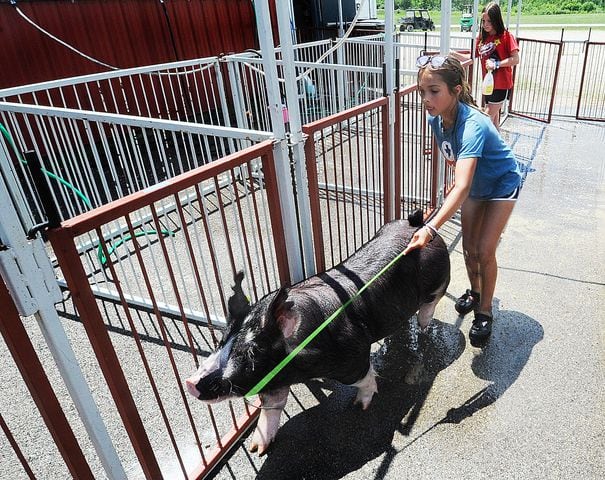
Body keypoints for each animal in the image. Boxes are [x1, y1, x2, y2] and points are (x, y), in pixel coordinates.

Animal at [184, 212, 448, 456]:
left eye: (252, 351)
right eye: (222, 340)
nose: (190, 383)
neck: (299, 366)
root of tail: (416, 223)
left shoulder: (353, 356)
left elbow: (364, 377)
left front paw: (360, 406)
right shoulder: (273, 377)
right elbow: (272, 406)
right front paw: (257, 448)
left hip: (438, 285)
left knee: (429, 307)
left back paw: (424, 326)